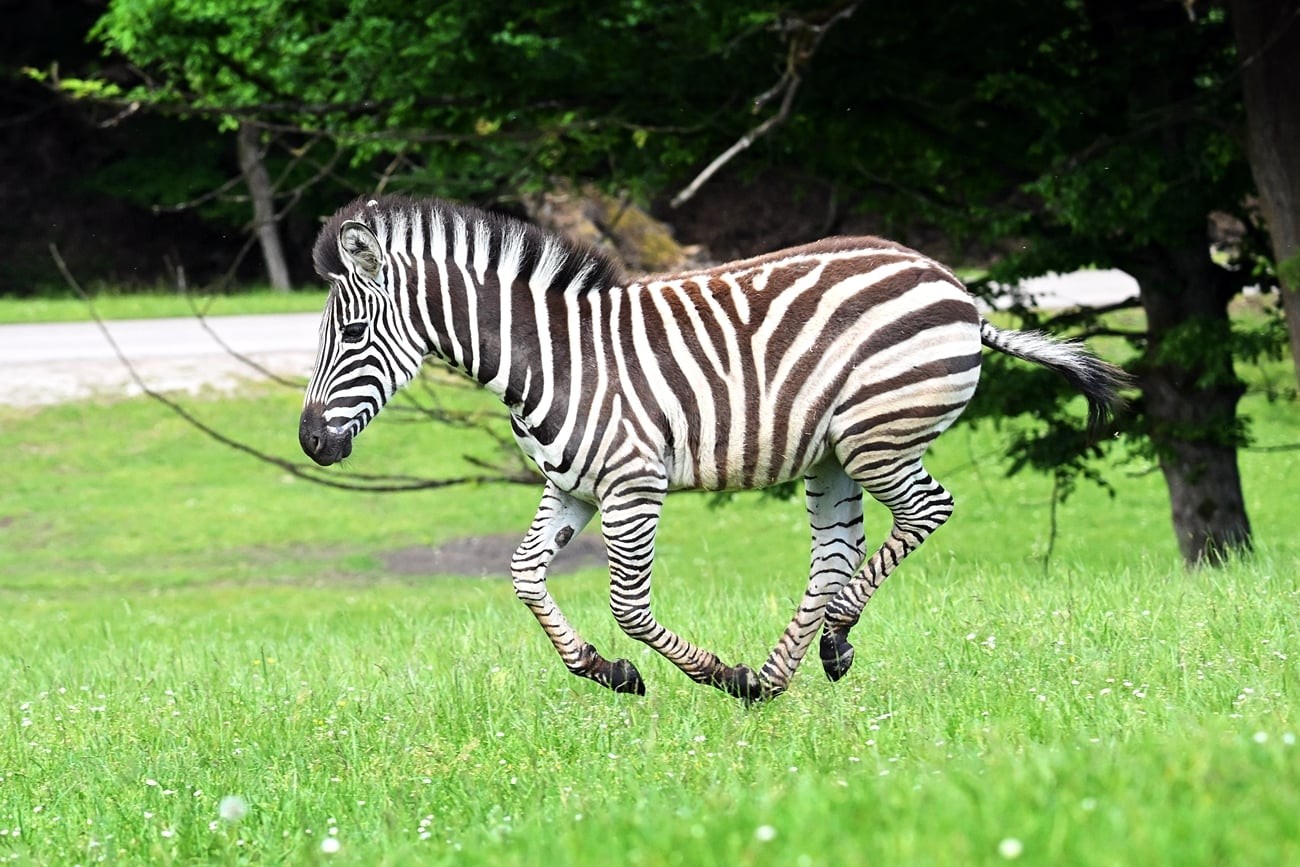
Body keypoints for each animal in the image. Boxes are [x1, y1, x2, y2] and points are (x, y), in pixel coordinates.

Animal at [299, 194, 1126, 702]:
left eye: (353, 333)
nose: (309, 442)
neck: (551, 358)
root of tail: (958, 290)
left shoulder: (633, 484)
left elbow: (629, 605)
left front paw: (709, 673)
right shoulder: (571, 487)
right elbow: (524, 575)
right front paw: (604, 670)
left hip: (878, 438)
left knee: (927, 510)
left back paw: (824, 642)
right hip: (831, 455)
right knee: (834, 552)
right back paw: (784, 671)